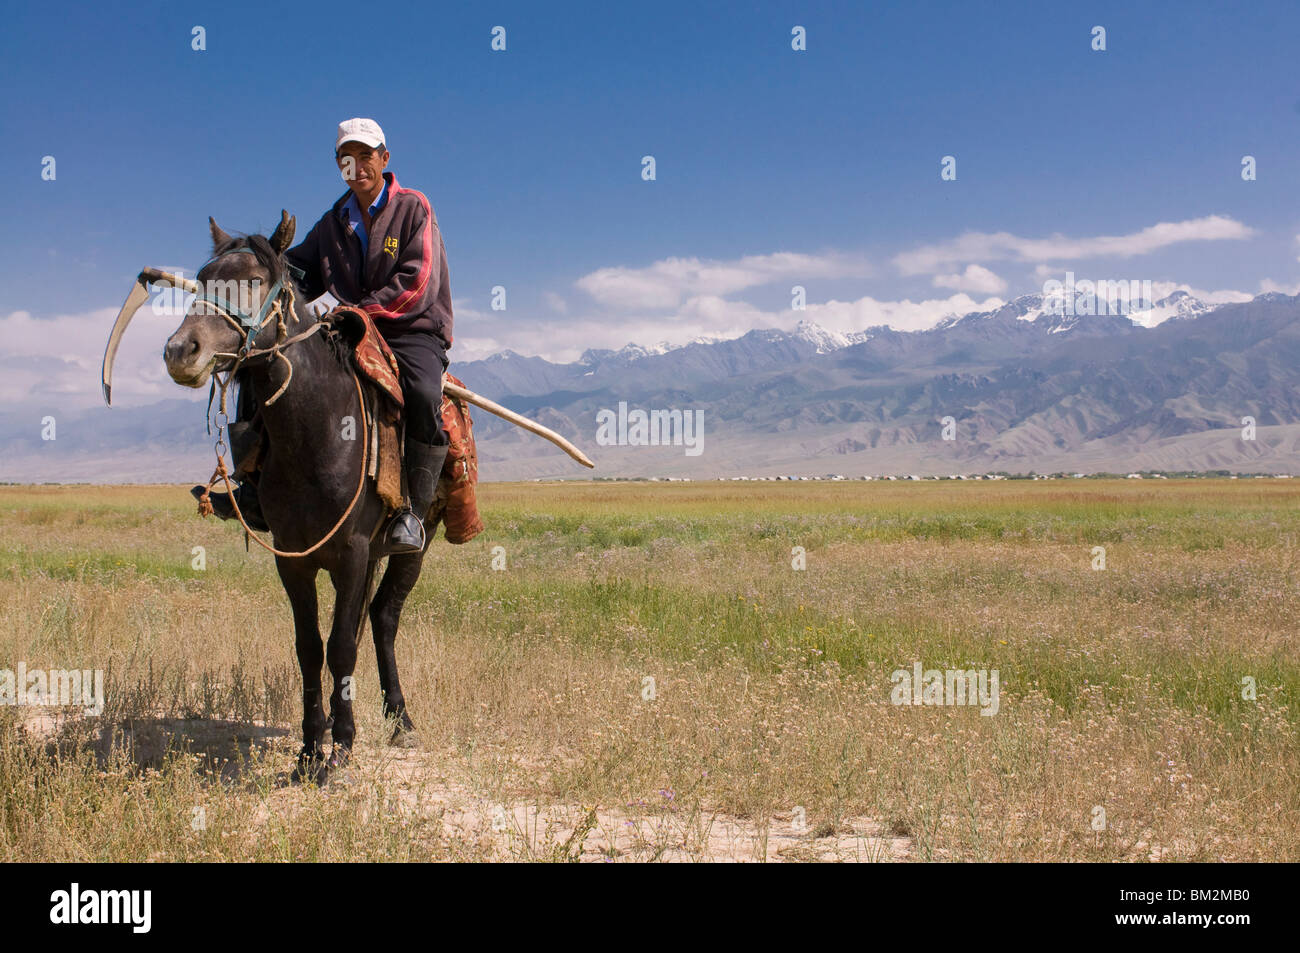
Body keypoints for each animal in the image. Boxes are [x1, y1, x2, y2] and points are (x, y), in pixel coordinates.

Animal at [161, 213, 426, 780]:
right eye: (203, 279)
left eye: (256, 281)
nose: (180, 352)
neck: (318, 430)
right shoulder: (292, 558)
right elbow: (309, 648)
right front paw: (310, 748)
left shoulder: (352, 554)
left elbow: (342, 645)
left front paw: (342, 748)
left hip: (413, 546)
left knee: (384, 619)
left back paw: (401, 722)